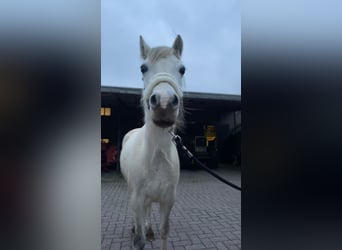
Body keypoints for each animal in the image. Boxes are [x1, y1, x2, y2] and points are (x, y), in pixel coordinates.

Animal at [119, 35, 186, 250]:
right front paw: (139, 234)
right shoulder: (137, 199)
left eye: (182, 69)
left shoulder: (167, 201)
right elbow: (139, 240)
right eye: (143, 68)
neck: (157, 157)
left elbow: (165, 231)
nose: (164, 103)